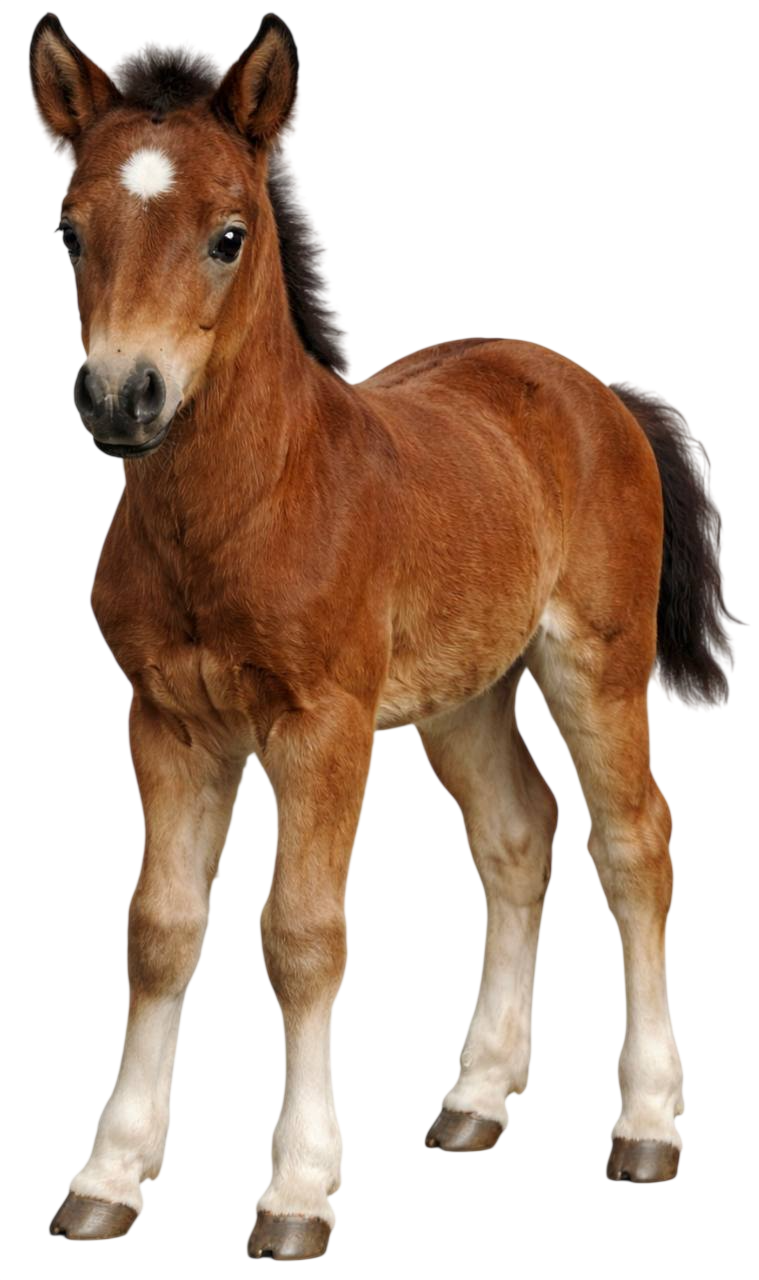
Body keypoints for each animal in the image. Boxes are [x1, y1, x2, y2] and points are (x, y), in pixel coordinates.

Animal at [31, 13, 739, 1260]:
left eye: (228, 235)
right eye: (72, 232)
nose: (123, 396)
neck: (253, 499)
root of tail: (592, 385)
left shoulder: (325, 724)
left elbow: (303, 932)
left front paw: (298, 1188)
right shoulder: (167, 719)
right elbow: (161, 925)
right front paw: (110, 1172)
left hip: (593, 661)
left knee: (632, 840)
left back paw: (649, 1119)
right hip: (465, 693)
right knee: (517, 833)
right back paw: (476, 1095)